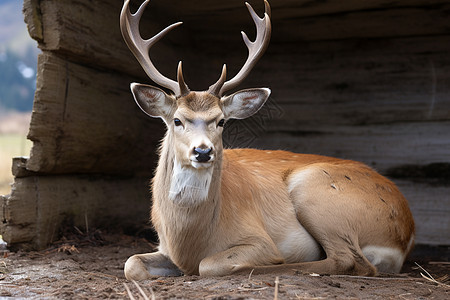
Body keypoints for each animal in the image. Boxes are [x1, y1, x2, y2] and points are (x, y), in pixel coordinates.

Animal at [119, 0, 414, 282]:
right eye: (177, 120)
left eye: (221, 121)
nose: (203, 151)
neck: (186, 238)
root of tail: (407, 228)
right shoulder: (163, 247)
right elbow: (131, 263)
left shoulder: (258, 239)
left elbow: (208, 265)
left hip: (316, 193)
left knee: (349, 260)